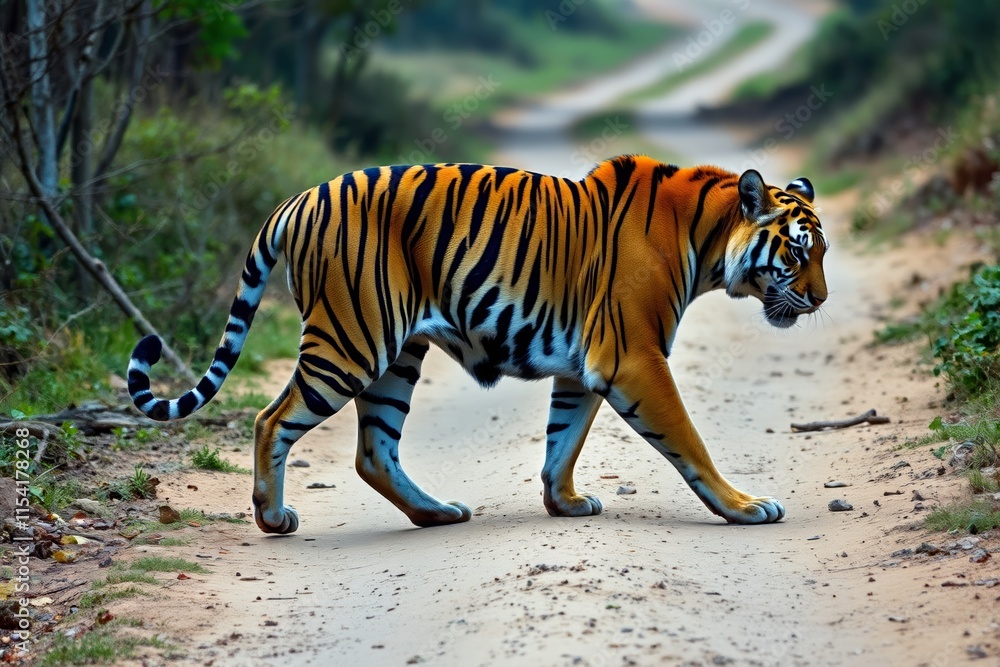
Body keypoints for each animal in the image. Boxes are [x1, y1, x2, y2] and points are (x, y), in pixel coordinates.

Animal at [127, 155, 828, 534]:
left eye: (823, 252)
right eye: (798, 253)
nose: (821, 300)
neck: (706, 239)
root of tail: (296, 199)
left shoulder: (587, 365)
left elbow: (564, 439)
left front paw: (564, 501)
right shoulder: (635, 357)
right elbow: (688, 441)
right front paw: (745, 507)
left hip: (396, 355)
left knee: (373, 451)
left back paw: (437, 512)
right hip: (351, 344)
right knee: (271, 420)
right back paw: (273, 519)